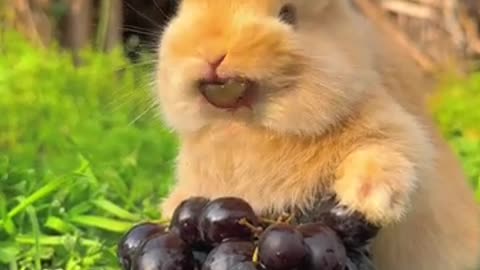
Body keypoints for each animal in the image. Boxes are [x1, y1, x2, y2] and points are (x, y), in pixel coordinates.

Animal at [152, 1, 480, 268]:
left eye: (288, 14)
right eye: (183, 10)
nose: (213, 55)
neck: (245, 129)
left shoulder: (395, 131)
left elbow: (385, 154)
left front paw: (366, 199)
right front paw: (169, 210)